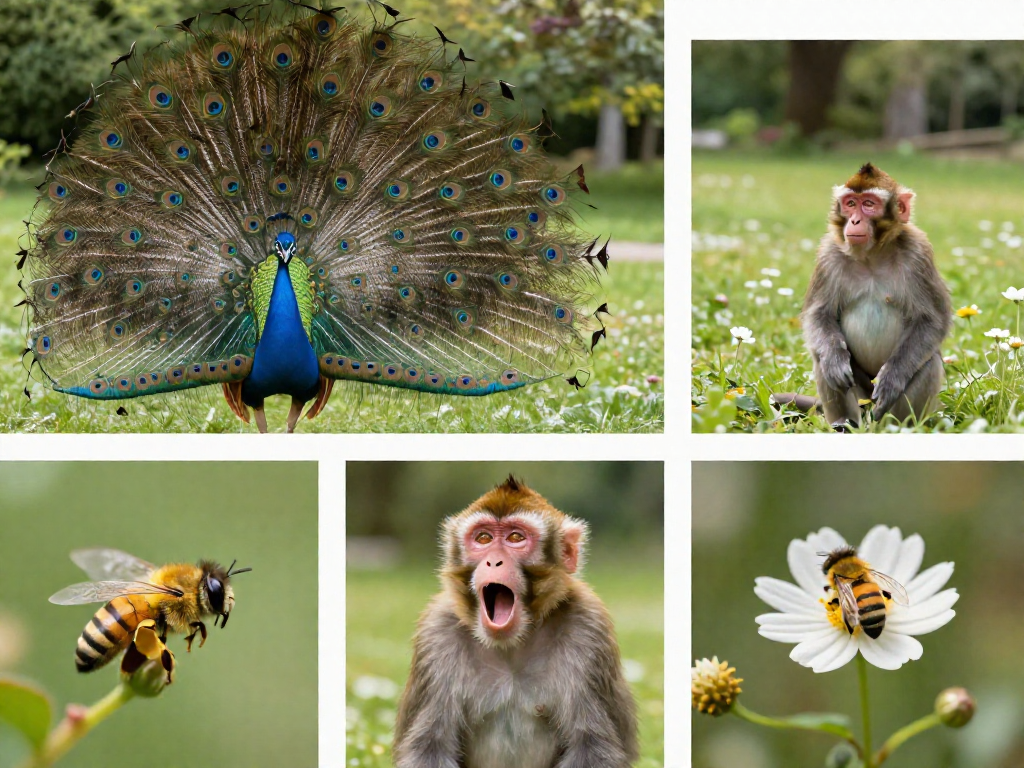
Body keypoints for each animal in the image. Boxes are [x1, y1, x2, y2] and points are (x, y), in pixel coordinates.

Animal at [392, 476, 639, 768]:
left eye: (516, 537)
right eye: (483, 538)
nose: (494, 561)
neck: (510, 646)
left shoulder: (588, 628)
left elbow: (592, 748)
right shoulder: (436, 634)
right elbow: (429, 748)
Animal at [787, 163, 951, 429]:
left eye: (869, 204)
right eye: (851, 203)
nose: (854, 220)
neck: (872, 257)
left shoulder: (918, 253)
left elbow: (932, 320)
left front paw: (892, 379)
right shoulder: (828, 254)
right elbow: (818, 314)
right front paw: (834, 359)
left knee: (928, 363)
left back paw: (895, 428)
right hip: (862, 397)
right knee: (821, 360)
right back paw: (843, 425)